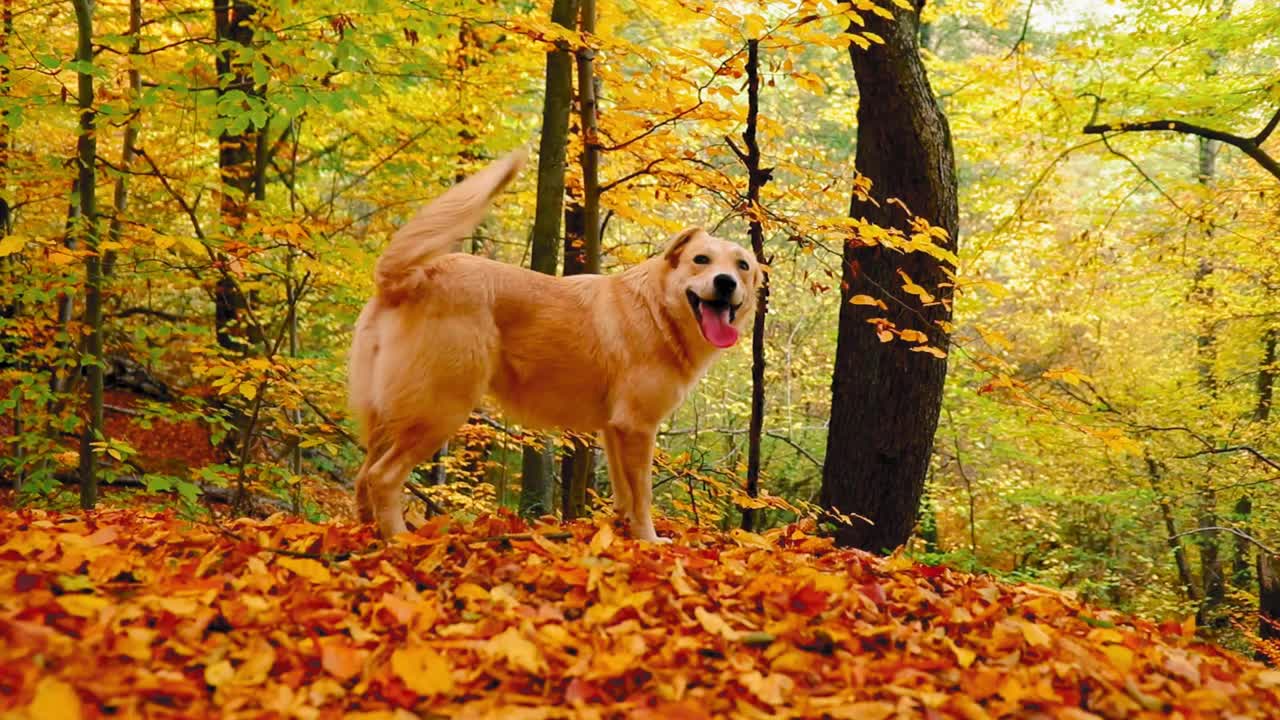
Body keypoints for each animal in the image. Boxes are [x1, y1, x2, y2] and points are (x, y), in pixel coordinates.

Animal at [348, 152, 757, 543]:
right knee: (383, 477)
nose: (726, 282)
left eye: (743, 266)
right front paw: (649, 540)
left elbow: (624, 495)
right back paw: (399, 539)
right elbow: (642, 497)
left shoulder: (615, 430)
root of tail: (411, 277)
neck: (657, 310)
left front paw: (621, 534)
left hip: (390, 416)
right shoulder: (638, 428)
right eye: (700, 260)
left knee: (364, 477)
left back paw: (366, 535)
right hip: (440, 410)